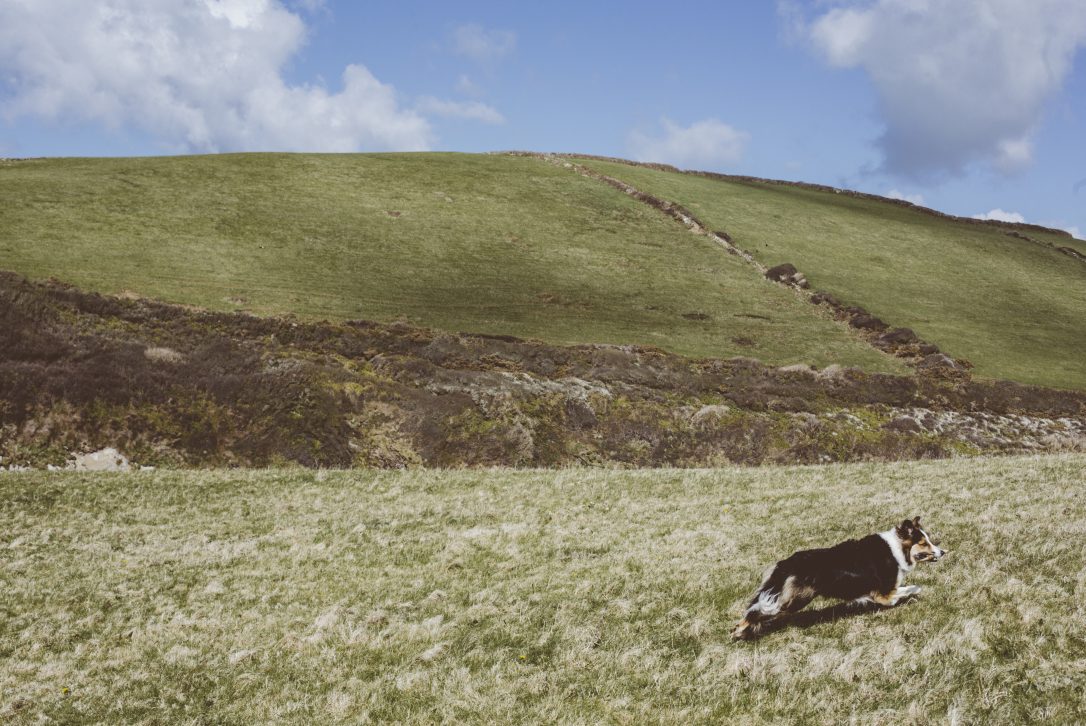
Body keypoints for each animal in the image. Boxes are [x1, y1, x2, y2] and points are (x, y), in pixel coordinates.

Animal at [734, 514, 946, 638]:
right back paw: (739, 631)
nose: (943, 551)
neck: (897, 549)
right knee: (757, 611)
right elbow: (906, 590)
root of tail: (787, 563)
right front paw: (909, 595)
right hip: (795, 599)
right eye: (924, 543)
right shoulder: (883, 593)